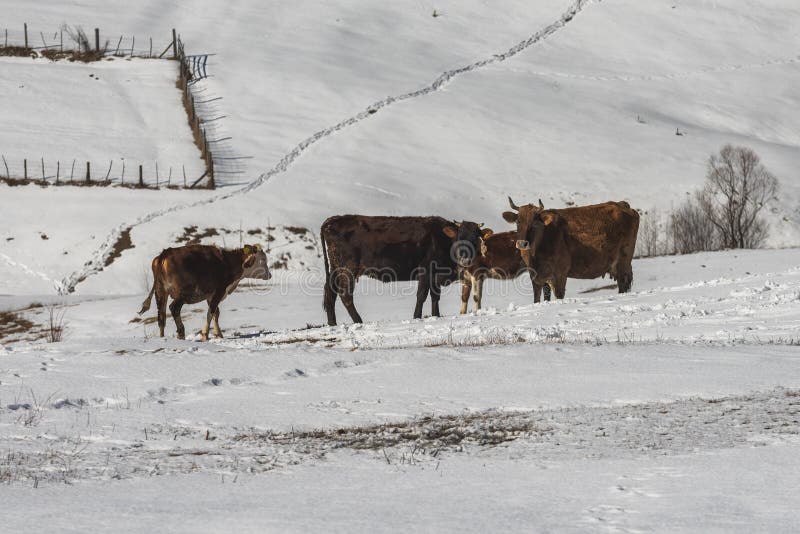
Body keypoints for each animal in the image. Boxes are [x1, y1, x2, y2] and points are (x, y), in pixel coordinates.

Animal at [139, 245, 270, 342]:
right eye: (263, 260)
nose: (270, 275)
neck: (228, 263)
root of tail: (166, 252)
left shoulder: (210, 295)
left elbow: (216, 313)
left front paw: (218, 334)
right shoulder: (219, 291)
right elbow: (210, 312)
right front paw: (205, 334)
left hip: (160, 292)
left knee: (161, 317)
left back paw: (162, 338)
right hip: (182, 294)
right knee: (174, 308)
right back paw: (181, 334)